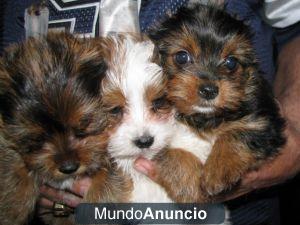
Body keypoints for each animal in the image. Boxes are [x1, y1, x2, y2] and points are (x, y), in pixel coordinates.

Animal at [150, 3, 286, 200]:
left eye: (231, 62)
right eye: (182, 57)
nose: (209, 90)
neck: (202, 117)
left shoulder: (265, 122)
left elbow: (239, 133)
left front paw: (217, 171)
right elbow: (166, 152)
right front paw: (191, 189)